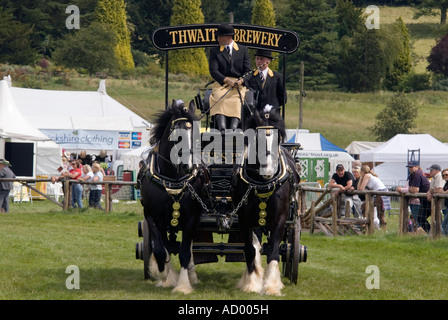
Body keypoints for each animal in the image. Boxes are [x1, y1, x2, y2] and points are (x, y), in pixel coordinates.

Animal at [138, 100, 205, 296]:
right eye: (176, 134)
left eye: (196, 135)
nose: (187, 166)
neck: (173, 179)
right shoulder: (152, 216)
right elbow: (161, 251)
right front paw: (164, 276)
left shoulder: (192, 218)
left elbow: (184, 253)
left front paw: (183, 285)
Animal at [233, 107, 300, 296]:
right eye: (258, 140)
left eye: (278, 141)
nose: (268, 170)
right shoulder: (245, 219)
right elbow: (250, 250)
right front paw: (251, 283)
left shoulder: (280, 219)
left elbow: (274, 252)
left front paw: (271, 286)